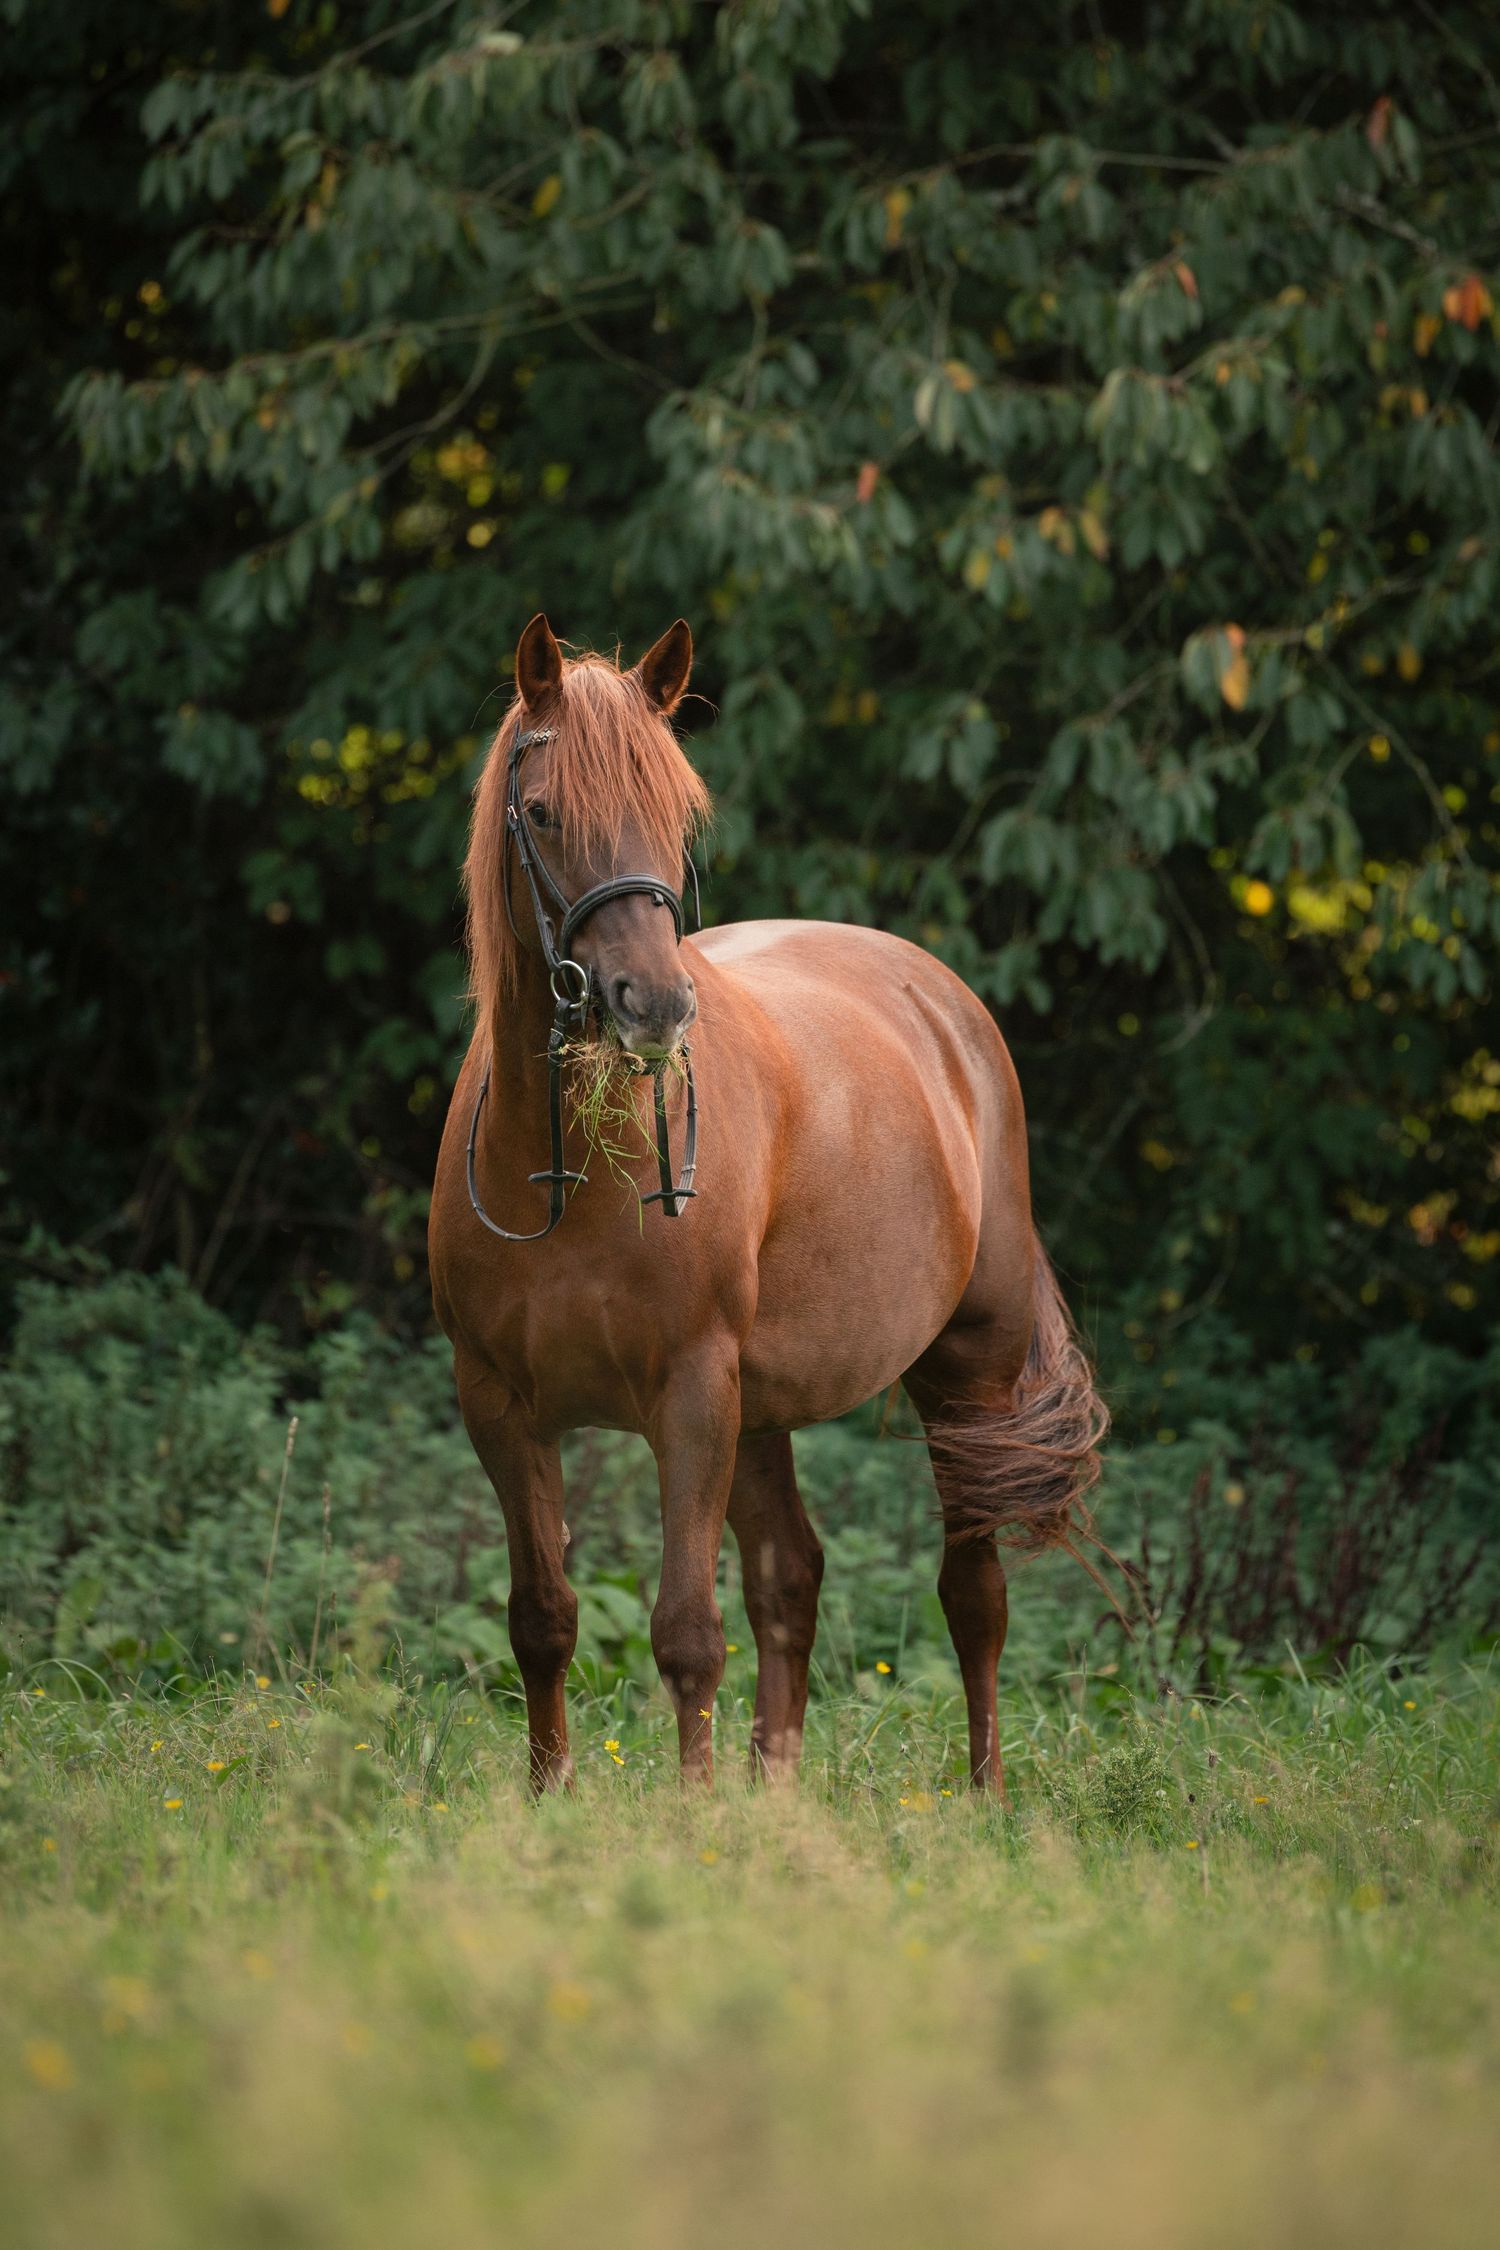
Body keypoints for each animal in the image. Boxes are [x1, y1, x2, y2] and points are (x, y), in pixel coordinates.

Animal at [430, 613, 1108, 1796]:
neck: (567, 1175)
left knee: (972, 1597)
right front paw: (550, 1800)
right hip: (763, 1410)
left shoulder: (692, 1393)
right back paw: (776, 1796)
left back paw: (984, 1797)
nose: (653, 1005)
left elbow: (687, 1635)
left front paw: (696, 1815)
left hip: (966, 1372)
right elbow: (542, 1619)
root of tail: (943, 1003)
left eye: (674, 816)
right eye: (544, 812)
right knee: (791, 1577)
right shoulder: (500, 1406)